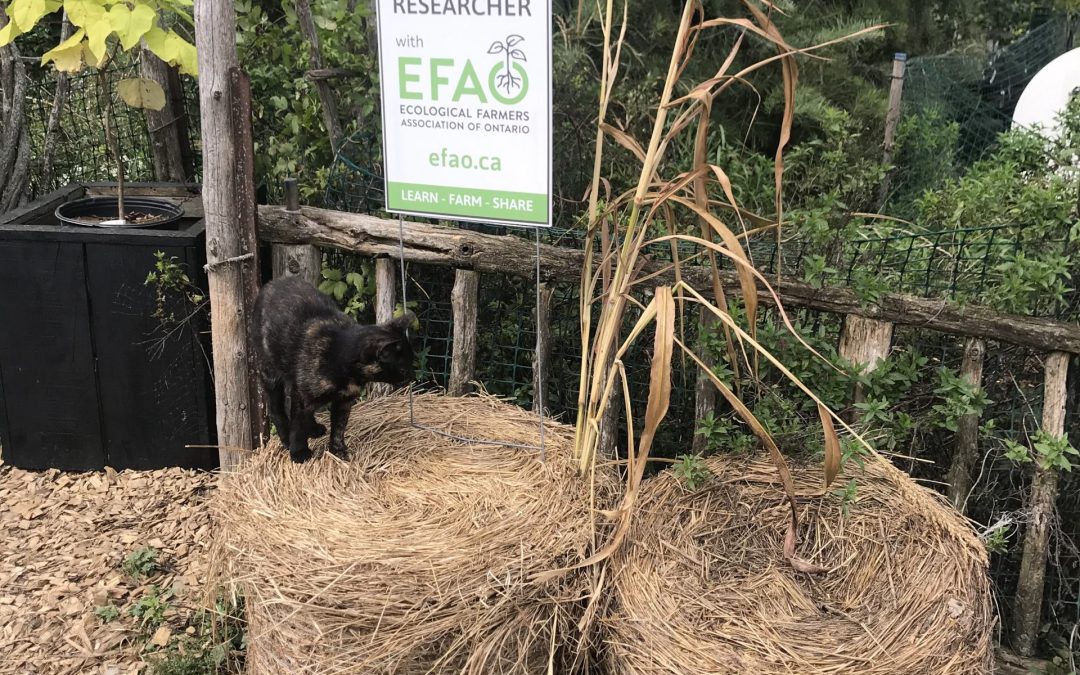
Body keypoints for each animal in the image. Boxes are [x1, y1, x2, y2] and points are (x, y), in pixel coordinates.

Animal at [252, 276, 416, 460]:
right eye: (403, 369)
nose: (413, 375)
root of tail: (274, 282)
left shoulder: (345, 400)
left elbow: (339, 426)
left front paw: (338, 450)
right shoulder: (303, 396)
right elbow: (298, 424)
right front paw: (299, 453)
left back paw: (314, 429)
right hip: (270, 373)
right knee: (276, 409)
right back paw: (287, 439)